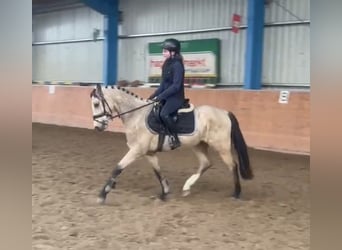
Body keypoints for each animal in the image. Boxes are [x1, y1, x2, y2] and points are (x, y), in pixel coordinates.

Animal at [89, 83, 252, 204]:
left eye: (96, 104)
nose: (97, 127)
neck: (136, 116)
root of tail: (225, 113)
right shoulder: (149, 153)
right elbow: (158, 172)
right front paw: (165, 193)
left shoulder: (137, 150)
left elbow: (117, 168)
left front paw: (102, 195)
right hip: (198, 144)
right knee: (206, 163)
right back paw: (187, 187)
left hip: (222, 147)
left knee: (233, 166)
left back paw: (236, 193)